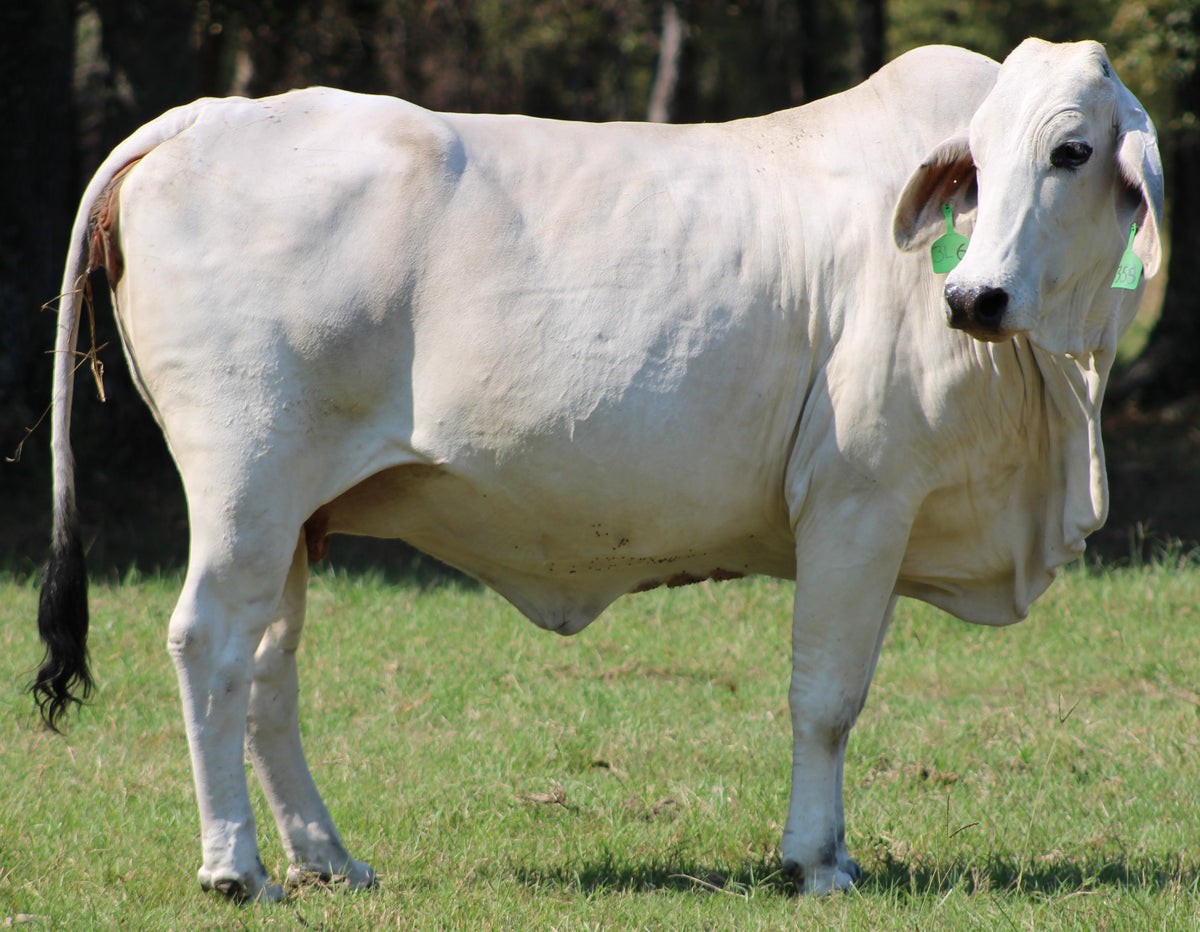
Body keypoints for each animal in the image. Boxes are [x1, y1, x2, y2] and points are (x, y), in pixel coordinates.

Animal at [35, 39, 1161, 897]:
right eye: (979, 157)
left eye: (1071, 150)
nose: (973, 297)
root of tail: (201, 119)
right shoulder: (860, 500)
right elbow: (827, 699)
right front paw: (815, 861)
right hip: (245, 481)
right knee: (208, 644)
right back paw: (235, 867)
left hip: (292, 512)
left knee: (268, 668)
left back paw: (326, 859)